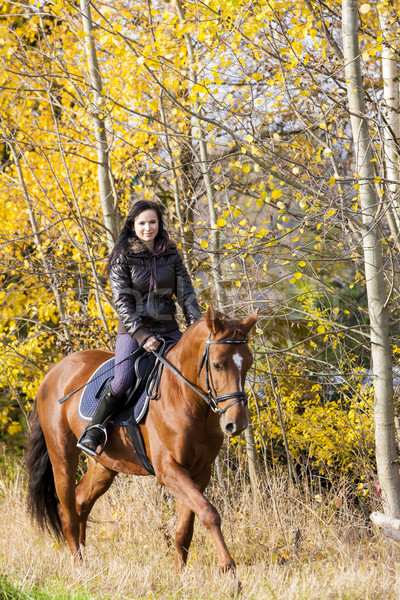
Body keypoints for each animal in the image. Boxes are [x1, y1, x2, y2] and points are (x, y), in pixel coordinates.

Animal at [26, 308, 258, 576]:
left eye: (249, 363)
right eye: (217, 364)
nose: (236, 423)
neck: (186, 398)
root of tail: (53, 373)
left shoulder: (198, 473)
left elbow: (184, 529)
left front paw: (179, 577)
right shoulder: (169, 470)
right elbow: (209, 513)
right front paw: (229, 570)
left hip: (104, 465)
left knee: (81, 502)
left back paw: (86, 563)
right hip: (62, 455)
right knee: (68, 512)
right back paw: (79, 568)